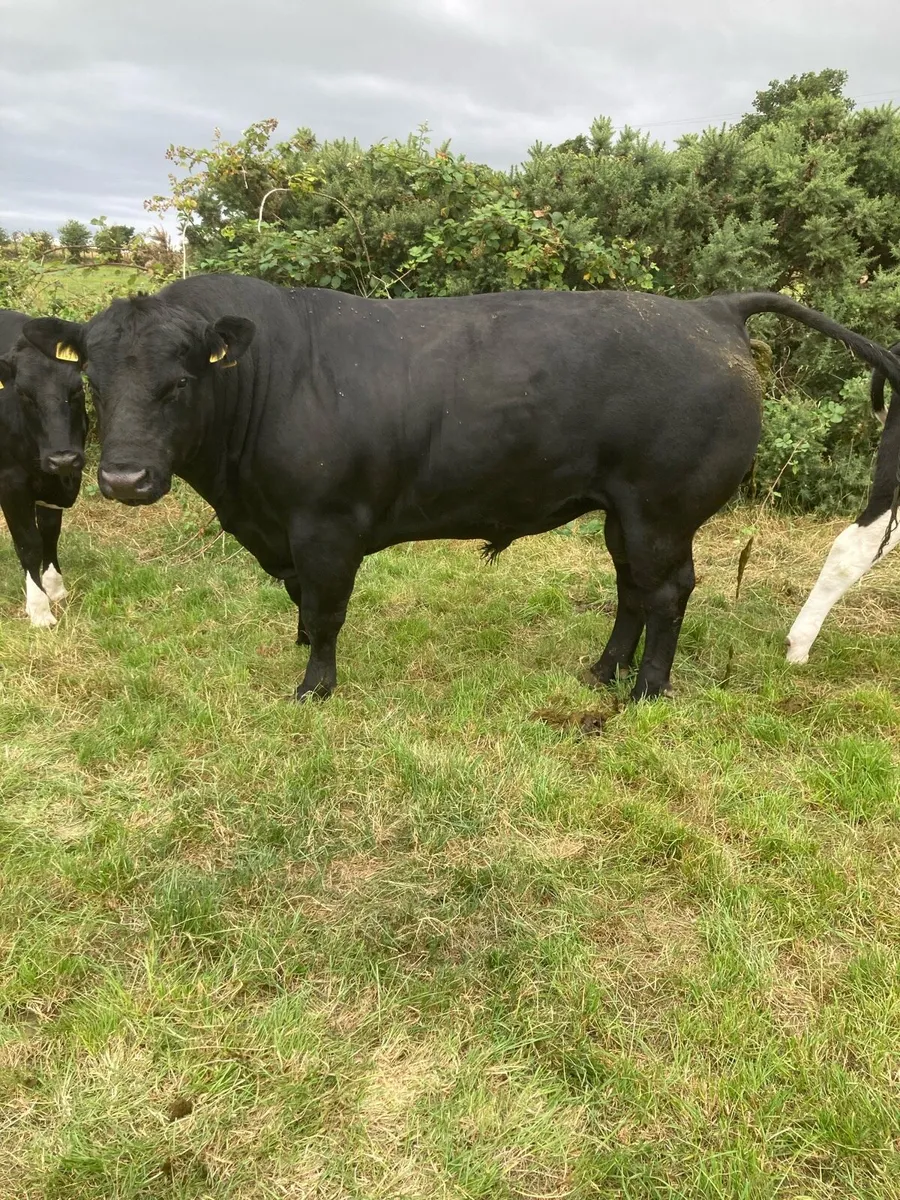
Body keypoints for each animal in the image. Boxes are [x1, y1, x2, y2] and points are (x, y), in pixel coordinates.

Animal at [0, 309, 88, 627]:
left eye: (78, 388)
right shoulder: (10, 483)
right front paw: (38, 609)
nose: (62, 458)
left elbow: (50, 531)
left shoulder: (62, 479)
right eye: (23, 394)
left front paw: (54, 587)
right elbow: (29, 543)